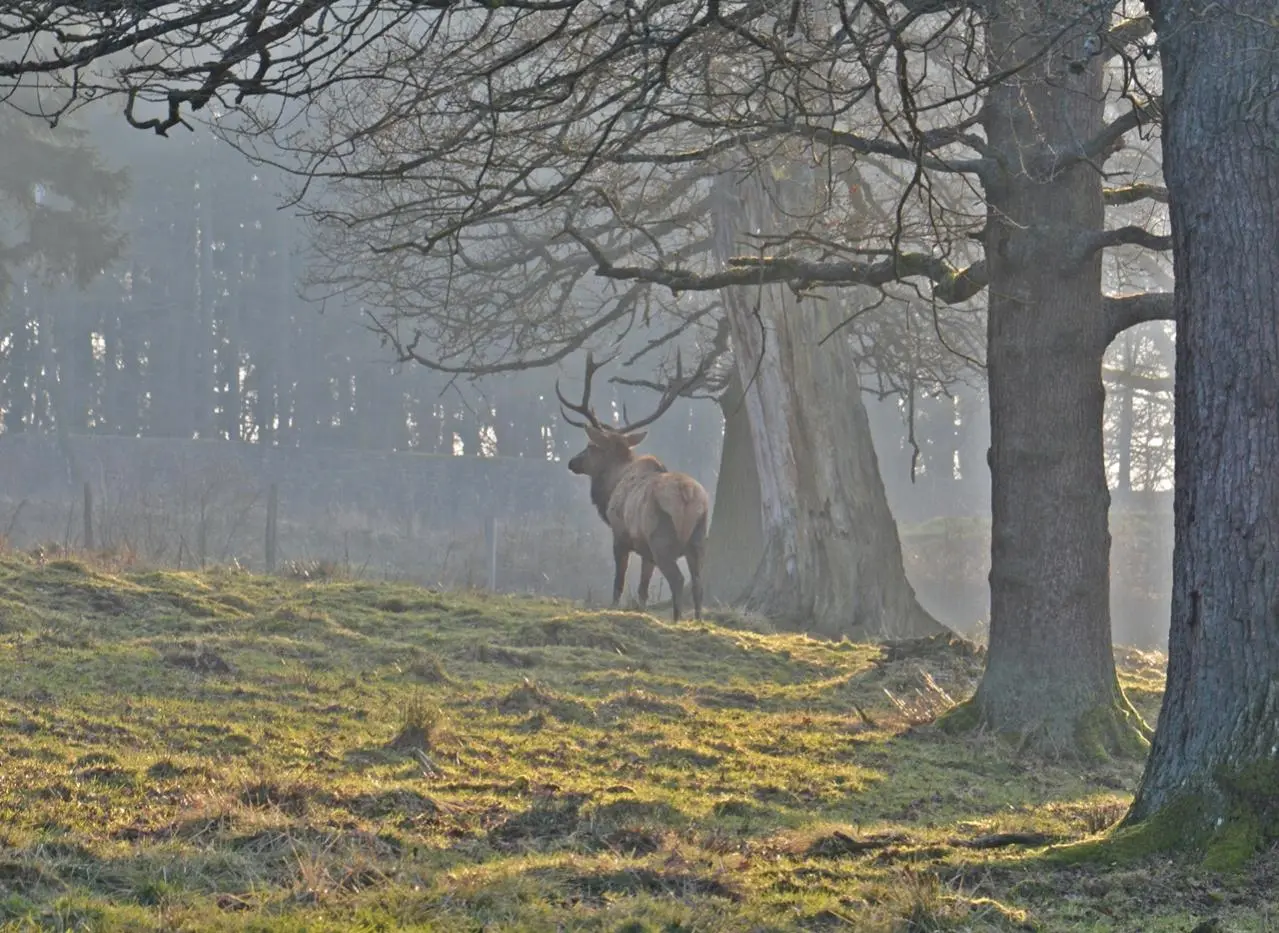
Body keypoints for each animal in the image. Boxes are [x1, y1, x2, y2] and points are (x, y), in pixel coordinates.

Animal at [556, 351, 711, 623]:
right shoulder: (645, 550)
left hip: (662, 538)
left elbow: (619, 581)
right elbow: (643, 588)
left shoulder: (620, 534)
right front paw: (640, 609)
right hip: (699, 538)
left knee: (678, 580)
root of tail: (687, 496)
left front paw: (614, 607)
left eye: (591, 446)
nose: (572, 462)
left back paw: (676, 620)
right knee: (698, 582)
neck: (612, 487)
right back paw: (698, 622)